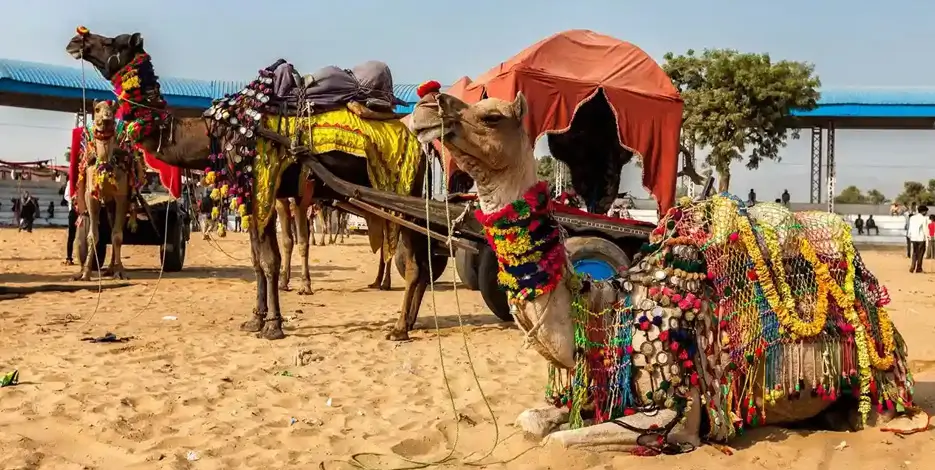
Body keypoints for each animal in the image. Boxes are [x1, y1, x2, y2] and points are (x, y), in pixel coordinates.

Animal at [67, 28, 433, 341]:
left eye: (114, 41)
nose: (76, 40)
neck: (219, 130)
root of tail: (420, 148)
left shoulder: (261, 183)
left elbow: (269, 259)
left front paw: (272, 326)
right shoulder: (257, 192)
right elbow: (259, 259)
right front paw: (256, 320)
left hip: (401, 191)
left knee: (414, 261)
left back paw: (400, 328)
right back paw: (410, 321)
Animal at [408, 92, 925, 452]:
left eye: (491, 116)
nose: (427, 105)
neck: (607, 311)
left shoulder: (677, 412)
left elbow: (562, 440)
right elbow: (534, 422)